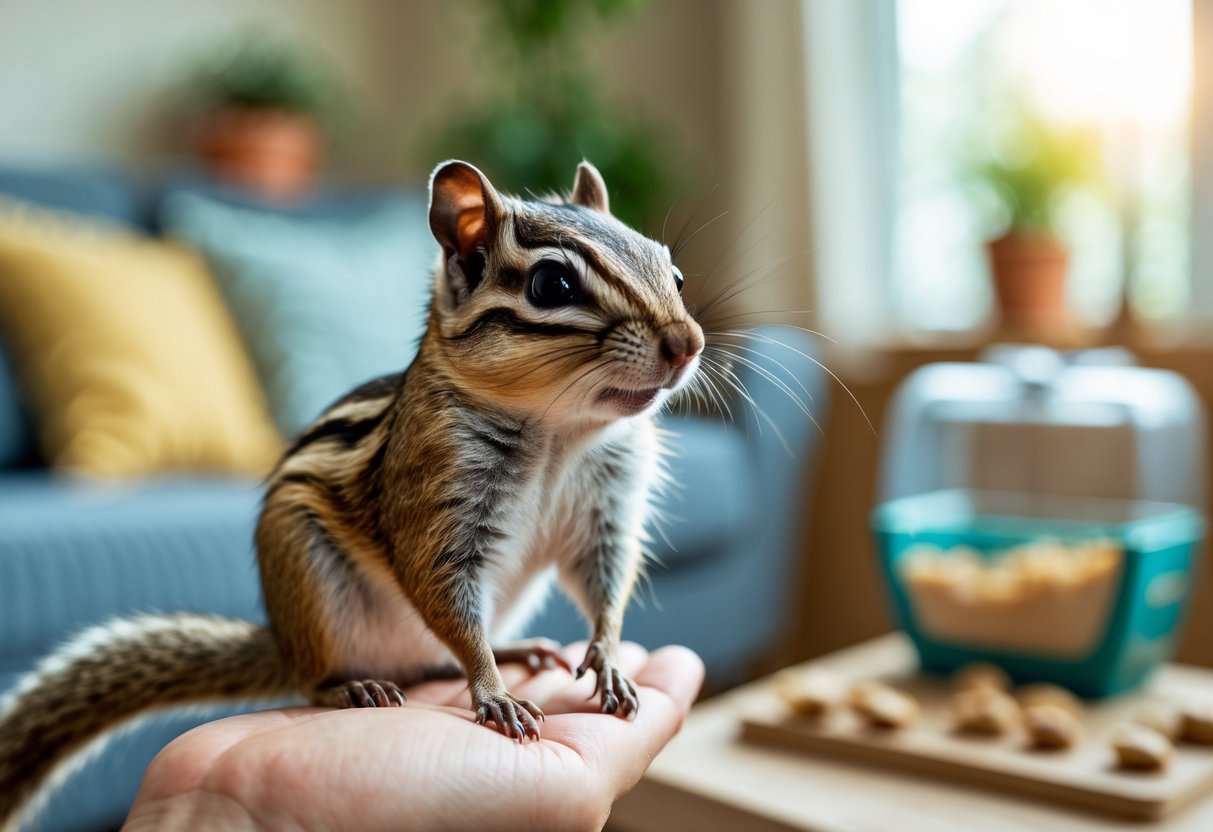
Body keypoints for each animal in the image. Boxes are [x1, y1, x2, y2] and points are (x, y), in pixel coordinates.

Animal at [0, 159, 705, 830]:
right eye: (552, 285)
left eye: (672, 270)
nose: (688, 343)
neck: (561, 432)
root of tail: (282, 640)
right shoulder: (436, 502)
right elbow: (444, 597)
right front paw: (495, 694)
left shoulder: (607, 507)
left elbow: (605, 580)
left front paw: (607, 660)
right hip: (305, 575)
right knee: (320, 680)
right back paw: (356, 689)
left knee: (435, 660)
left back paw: (513, 649)